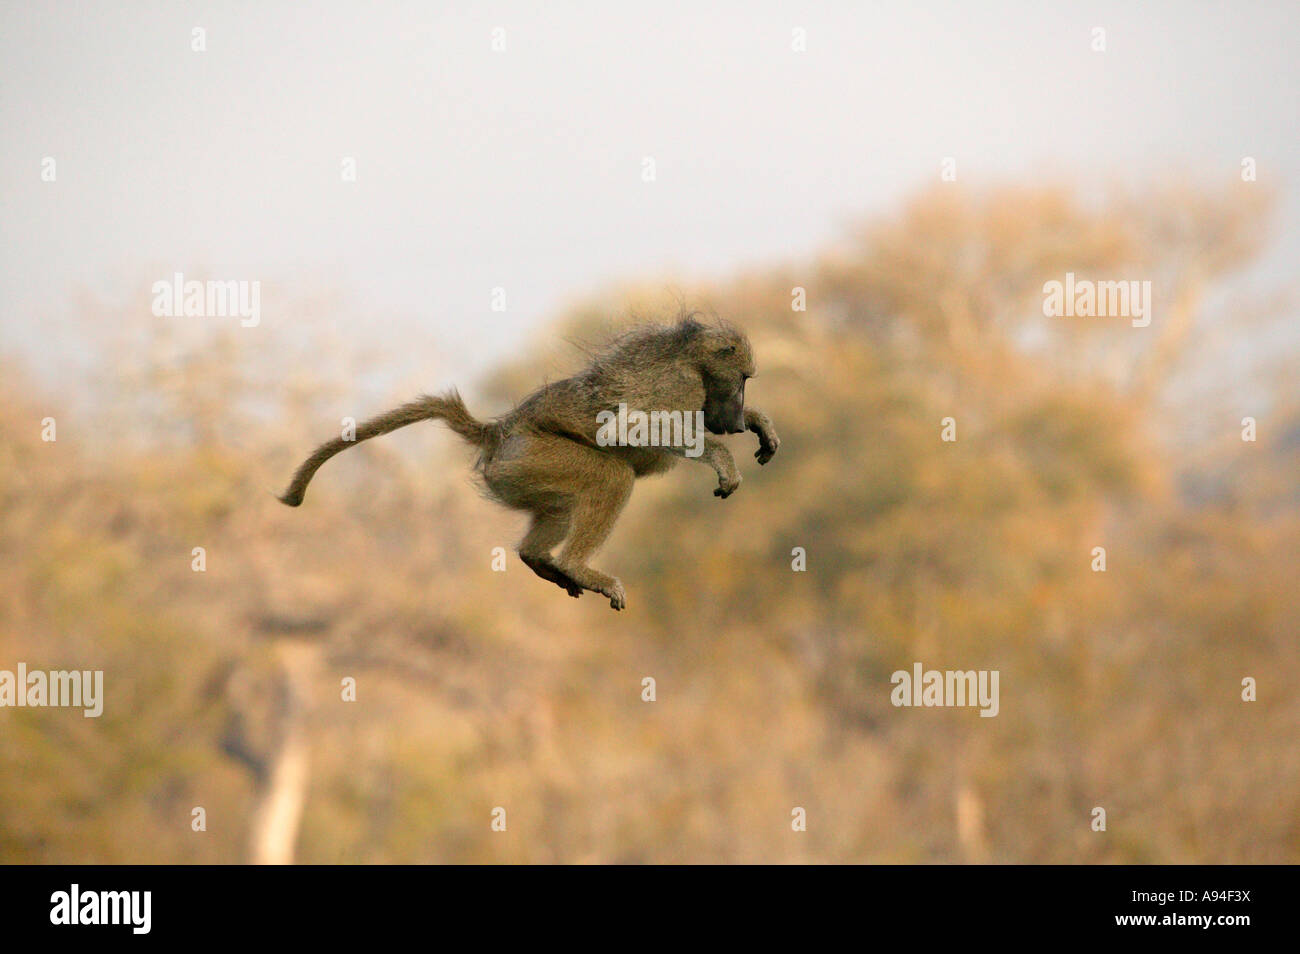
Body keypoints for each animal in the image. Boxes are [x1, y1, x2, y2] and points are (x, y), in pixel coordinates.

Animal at [278, 315, 780, 610]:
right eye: (742, 379)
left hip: (527, 472)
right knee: (611, 475)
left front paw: (758, 425)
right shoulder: (678, 387)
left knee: (562, 507)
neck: (689, 358)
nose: (737, 416)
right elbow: (626, 428)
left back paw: (540, 560)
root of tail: (497, 432)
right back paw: (577, 567)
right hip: (533, 458)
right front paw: (724, 458)